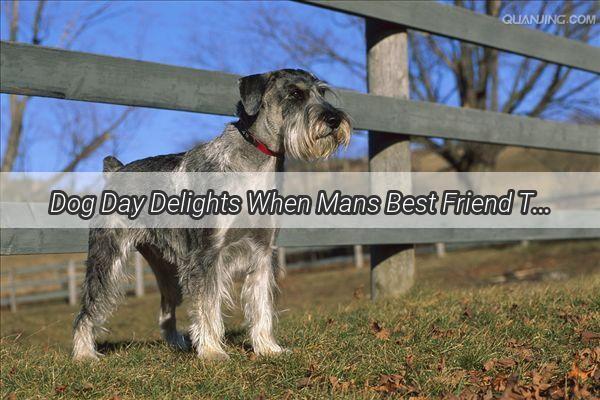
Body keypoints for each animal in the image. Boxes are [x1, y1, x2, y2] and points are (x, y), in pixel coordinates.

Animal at [71, 69, 352, 362]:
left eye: (322, 92)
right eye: (295, 93)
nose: (334, 119)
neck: (256, 163)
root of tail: (116, 170)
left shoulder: (263, 252)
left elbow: (261, 304)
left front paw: (268, 348)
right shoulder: (207, 254)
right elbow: (207, 305)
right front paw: (212, 351)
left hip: (167, 268)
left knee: (166, 308)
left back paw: (177, 343)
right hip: (107, 258)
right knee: (87, 310)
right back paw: (84, 354)